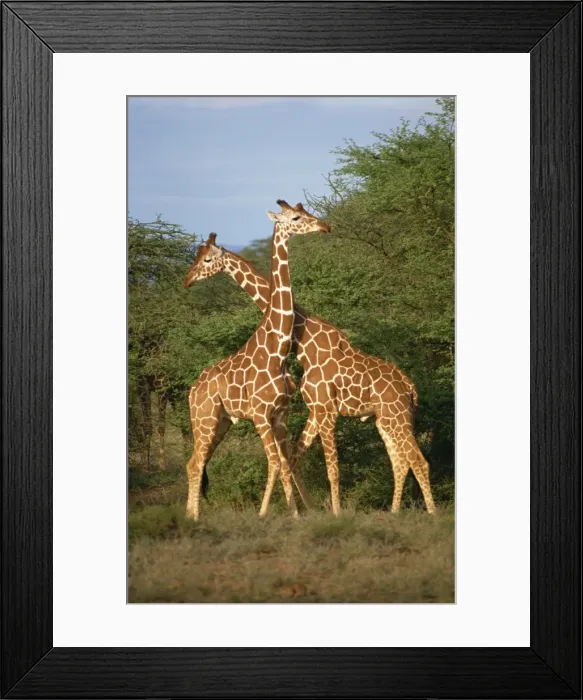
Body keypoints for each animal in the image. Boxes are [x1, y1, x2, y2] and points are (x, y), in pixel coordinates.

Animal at [182, 201, 330, 521]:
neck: (278, 351)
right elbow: (274, 462)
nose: (325, 226)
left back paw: (190, 516)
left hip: (221, 421)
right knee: (196, 463)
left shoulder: (280, 414)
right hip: (204, 418)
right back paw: (194, 517)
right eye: (295, 217)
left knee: (193, 462)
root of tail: (192, 390)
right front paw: (272, 515)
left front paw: (298, 513)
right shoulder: (261, 414)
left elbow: (285, 462)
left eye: (305, 213)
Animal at [183, 233, 436, 515]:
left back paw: (432, 513)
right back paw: (394, 512)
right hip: (385, 419)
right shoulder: (315, 409)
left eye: (207, 259)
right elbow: (294, 458)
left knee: (417, 460)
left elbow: (328, 467)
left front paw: (330, 512)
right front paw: (310, 510)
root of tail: (410, 387)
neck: (303, 342)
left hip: (397, 416)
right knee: (400, 461)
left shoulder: (325, 410)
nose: (188, 279)